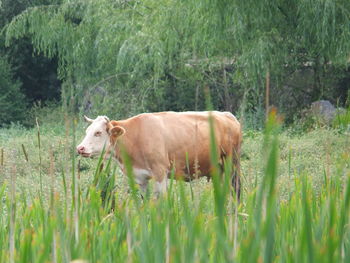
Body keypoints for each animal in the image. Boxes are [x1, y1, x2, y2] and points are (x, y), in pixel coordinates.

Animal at [76, 112, 241, 201]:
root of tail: (227, 115)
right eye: (87, 131)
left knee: (235, 190)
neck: (135, 137)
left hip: (232, 165)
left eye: (98, 132)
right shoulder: (140, 178)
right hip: (218, 170)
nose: (80, 148)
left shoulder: (161, 173)